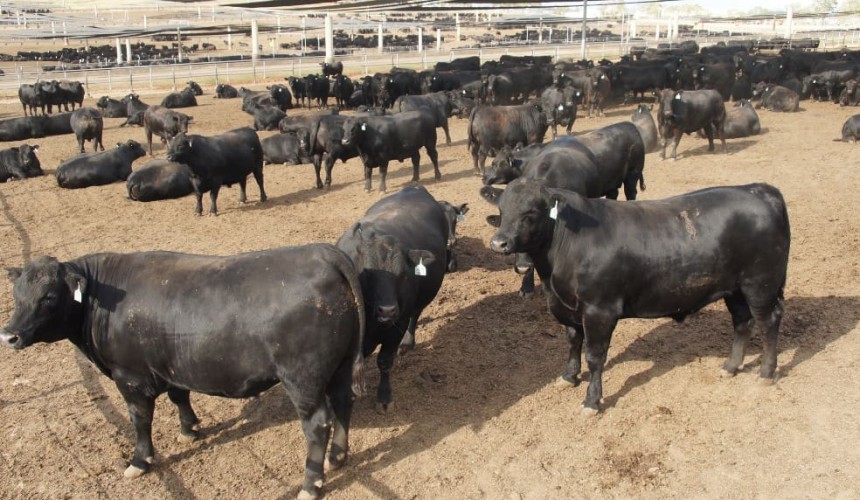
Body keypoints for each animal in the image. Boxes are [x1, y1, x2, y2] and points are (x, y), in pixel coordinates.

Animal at [0, 245, 365, 499]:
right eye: (16, 295)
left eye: (49, 297)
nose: (9, 335)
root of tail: (322, 253)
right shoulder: (170, 366)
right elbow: (179, 395)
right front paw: (189, 429)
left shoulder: (130, 376)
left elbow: (140, 420)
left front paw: (139, 461)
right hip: (341, 366)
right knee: (343, 403)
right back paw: (337, 457)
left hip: (303, 379)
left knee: (317, 424)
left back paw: (311, 483)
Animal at [336, 184, 446, 410]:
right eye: (367, 275)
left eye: (403, 274)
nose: (388, 310)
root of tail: (415, 188)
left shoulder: (396, 327)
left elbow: (385, 362)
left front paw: (384, 397)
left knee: (415, 315)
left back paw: (408, 343)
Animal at [485, 179, 790, 413]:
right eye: (501, 210)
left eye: (531, 211)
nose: (499, 243)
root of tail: (758, 190)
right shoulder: (569, 308)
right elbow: (572, 341)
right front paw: (569, 376)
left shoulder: (599, 310)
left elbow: (595, 356)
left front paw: (592, 401)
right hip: (735, 288)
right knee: (742, 322)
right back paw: (731, 366)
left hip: (760, 284)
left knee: (768, 321)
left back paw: (766, 372)